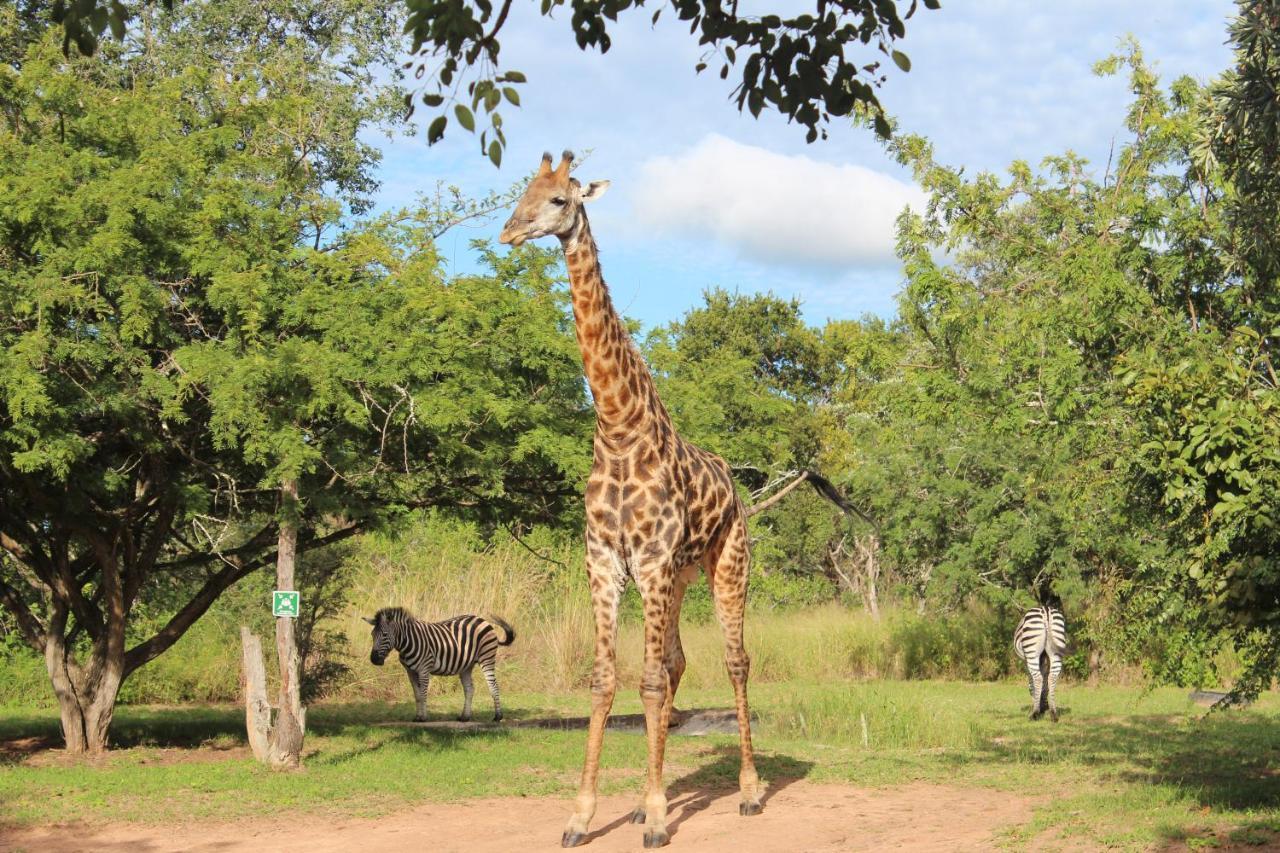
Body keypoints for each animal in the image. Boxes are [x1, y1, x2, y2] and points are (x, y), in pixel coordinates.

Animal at [363, 607, 512, 722]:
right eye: (372, 634)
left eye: (385, 634)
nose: (374, 659)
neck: (408, 642)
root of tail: (482, 619)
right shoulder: (410, 672)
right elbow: (417, 695)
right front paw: (417, 717)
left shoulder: (424, 669)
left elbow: (423, 694)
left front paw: (423, 718)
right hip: (466, 665)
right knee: (469, 689)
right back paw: (465, 717)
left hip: (487, 658)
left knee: (493, 685)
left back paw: (498, 716)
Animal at [496, 151, 757, 845]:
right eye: (520, 192)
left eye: (560, 199)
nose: (510, 232)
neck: (616, 427)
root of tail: (736, 486)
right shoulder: (606, 561)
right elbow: (606, 680)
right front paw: (583, 816)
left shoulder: (652, 559)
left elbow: (646, 682)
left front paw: (661, 818)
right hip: (677, 578)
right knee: (677, 663)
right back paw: (642, 800)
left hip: (725, 567)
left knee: (734, 661)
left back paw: (750, 791)